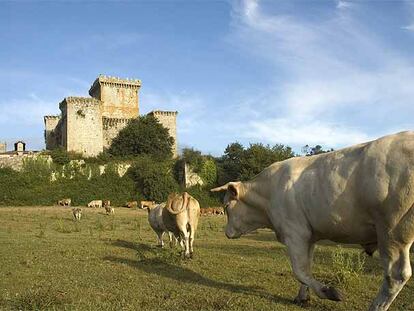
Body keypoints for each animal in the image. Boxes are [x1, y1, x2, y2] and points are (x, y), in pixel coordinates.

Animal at [212, 132, 414, 311]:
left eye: (226, 206)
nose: (226, 232)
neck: (268, 195)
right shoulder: (309, 236)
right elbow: (306, 268)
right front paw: (302, 297)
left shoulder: (295, 233)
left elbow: (300, 270)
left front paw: (328, 292)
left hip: (391, 231)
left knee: (396, 275)